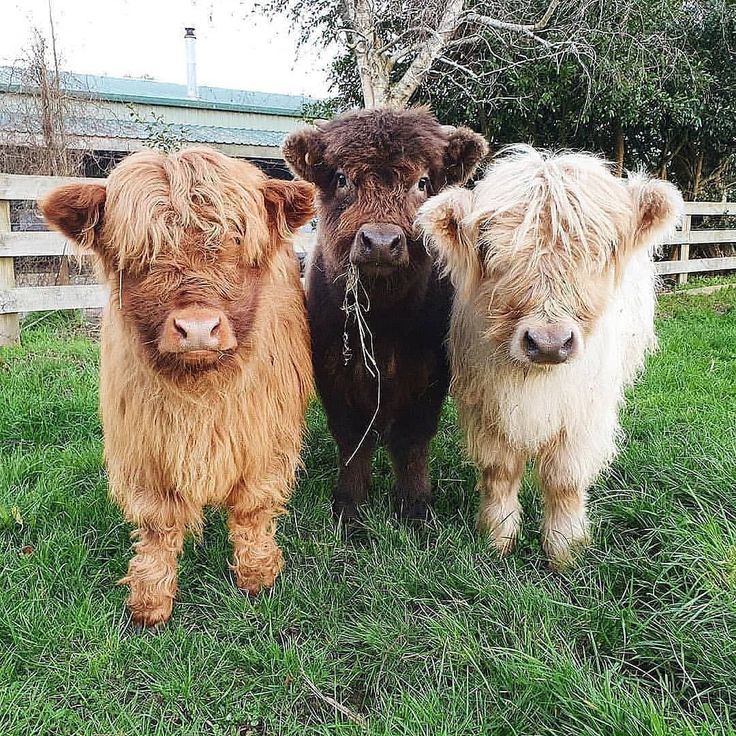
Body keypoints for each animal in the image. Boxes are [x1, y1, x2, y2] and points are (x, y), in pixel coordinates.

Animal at [41, 148, 314, 628]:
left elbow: (252, 508)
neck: (200, 392)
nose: (198, 328)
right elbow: (158, 524)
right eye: (142, 253)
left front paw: (258, 575)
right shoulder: (144, 445)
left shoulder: (266, 436)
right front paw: (150, 600)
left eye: (236, 243)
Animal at [284, 109, 486, 520]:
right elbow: (352, 442)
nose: (379, 242)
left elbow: (411, 443)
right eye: (342, 178)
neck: (383, 323)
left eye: (422, 181)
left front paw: (415, 508)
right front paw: (349, 507)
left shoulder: (430, 375)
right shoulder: (333, 371)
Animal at [420, 147, 684, 568]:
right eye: (489, 248)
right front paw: (497, 538)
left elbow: (564, 480)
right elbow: (500, 472)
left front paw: (565, 549)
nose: (548, 342)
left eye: (604, 248)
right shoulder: (485, 404)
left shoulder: (584, 414)